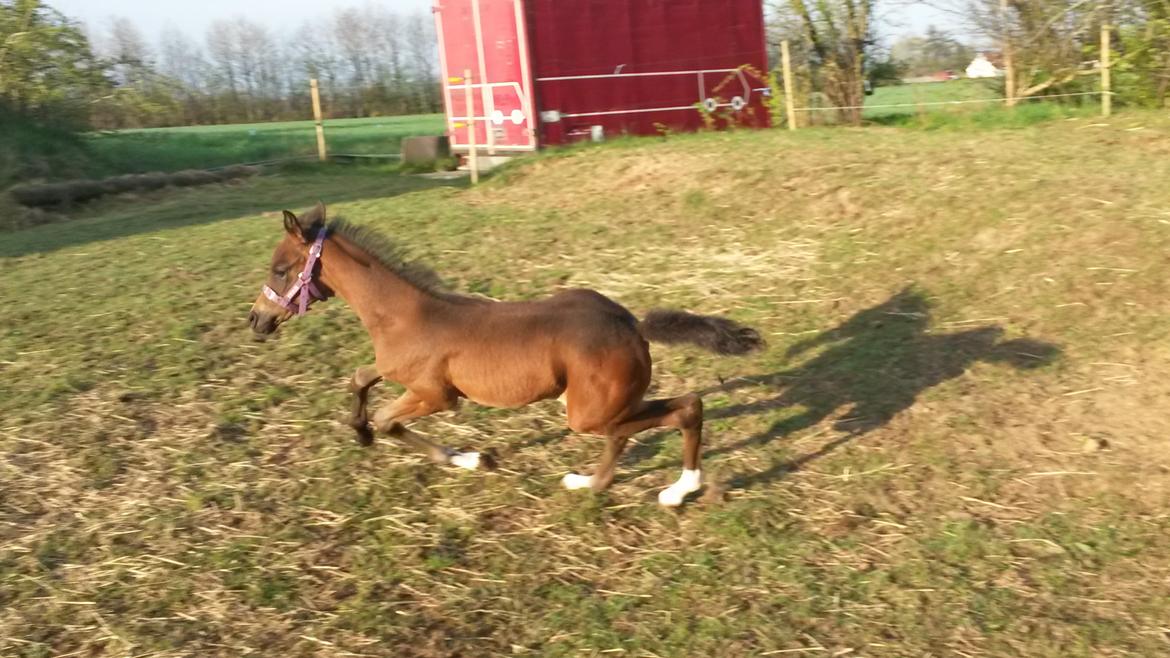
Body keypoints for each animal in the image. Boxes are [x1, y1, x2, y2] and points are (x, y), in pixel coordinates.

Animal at [248, 202, 762, 503]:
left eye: (280, 269)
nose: (256, 321)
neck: (403, 315)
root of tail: (632, 324)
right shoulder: (398, 371)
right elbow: (359, 378)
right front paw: (359, 432)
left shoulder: (435, 395)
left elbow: (389, 419)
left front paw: (471, 458)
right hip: (606, 401)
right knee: (684, 407)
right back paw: (666, 487)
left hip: (588, 411)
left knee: (644, 424)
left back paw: (630, 487)